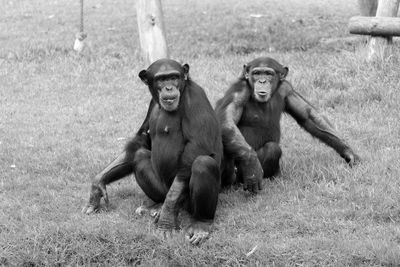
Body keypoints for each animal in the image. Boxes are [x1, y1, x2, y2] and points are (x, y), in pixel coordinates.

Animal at [82, 58, 223, 245]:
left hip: (187, 202)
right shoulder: (151, 104)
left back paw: (200, 224)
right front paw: (98, 184)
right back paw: (156, 205)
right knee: (140, 155)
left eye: (174, 77)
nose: (169, 87)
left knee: (203, 163)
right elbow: (141, 140)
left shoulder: (196, 98)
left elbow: (196, 146)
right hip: (161, 189)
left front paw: (167, 217)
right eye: (161, 79)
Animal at [217, 57, 360, 194]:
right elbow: (226, 122)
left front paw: (348, 152)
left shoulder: (287, 89)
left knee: (272, 148)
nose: (262, 81)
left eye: (268, 73)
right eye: (256, 73)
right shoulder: (238, 92)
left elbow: (308, 116)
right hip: (235, 176)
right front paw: (251, 165)